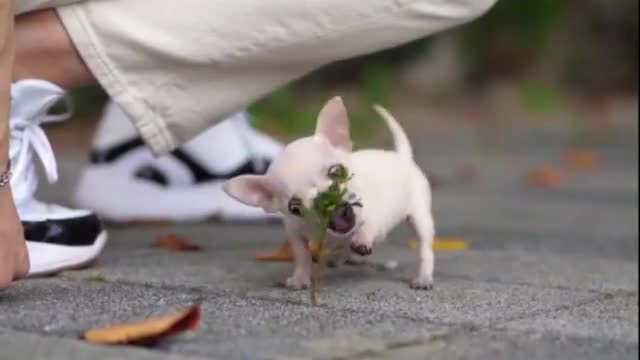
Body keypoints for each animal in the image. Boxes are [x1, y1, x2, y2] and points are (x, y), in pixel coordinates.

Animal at [224, 95, 436, 290]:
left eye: (336, 172)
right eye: (295, 207)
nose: (326, 202)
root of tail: (403, 156)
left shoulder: (373, 217)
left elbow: (367, 227)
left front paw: (361, 240)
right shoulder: (295, 232)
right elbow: (302, 256)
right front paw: (300, 277)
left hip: (420, 217)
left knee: (425, 249)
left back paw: (423, 277)